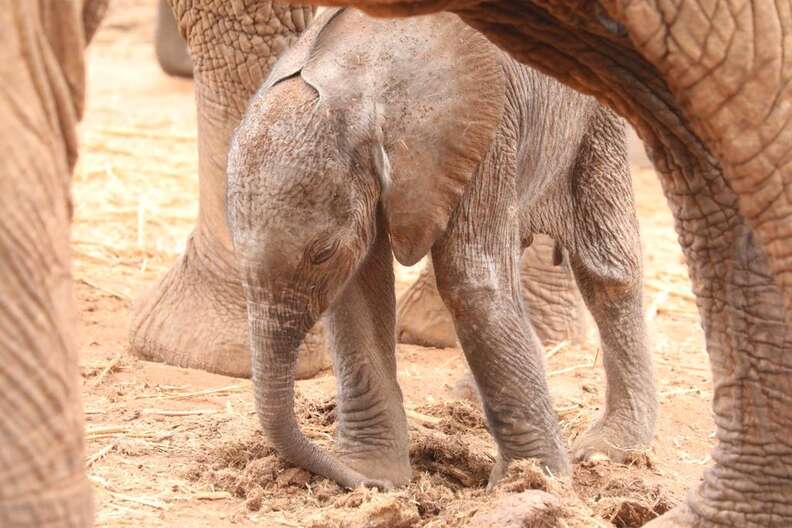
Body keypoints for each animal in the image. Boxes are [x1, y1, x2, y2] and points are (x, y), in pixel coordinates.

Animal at [276, 0, 792, 524]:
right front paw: (375, 476)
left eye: (321, 253)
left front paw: (525, 485)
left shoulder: (481, 135)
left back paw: (607, 449)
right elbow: (359, 287)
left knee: (607, 265)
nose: (347, 482)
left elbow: (471, 278)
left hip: (594, 125)